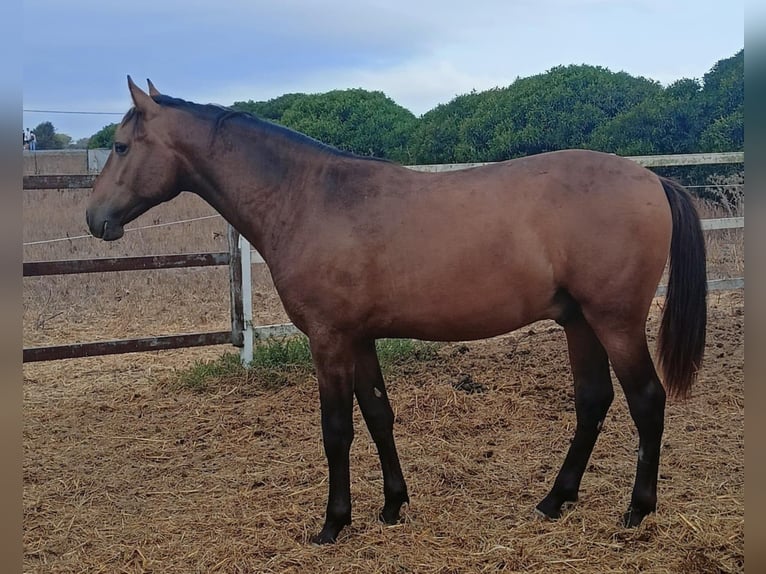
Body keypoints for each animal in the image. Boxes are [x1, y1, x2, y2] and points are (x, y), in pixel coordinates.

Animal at [85, 76, 708, 544]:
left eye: (120, 146)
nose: (94, 219)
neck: (309, 198)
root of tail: (652, 177)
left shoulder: (329, 340)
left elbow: (337, 429)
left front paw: (333, 524)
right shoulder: (358, 338)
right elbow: (379, 416)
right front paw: (392, 506)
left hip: (615, 322)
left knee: (646, 401)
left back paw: (637, 510)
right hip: (579, 322)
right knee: (593, 403)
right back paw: (554, 500)